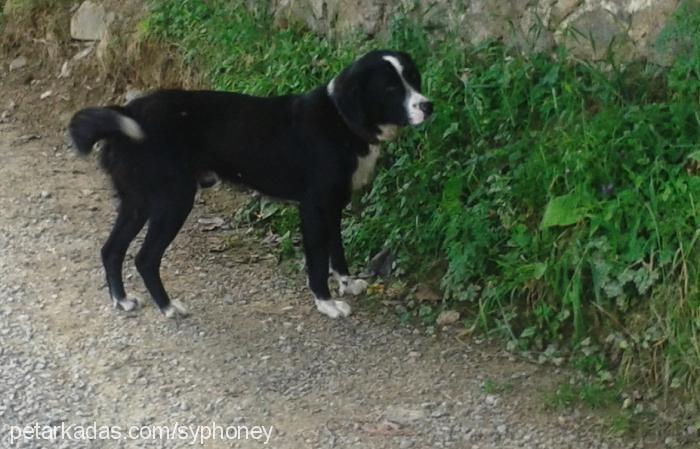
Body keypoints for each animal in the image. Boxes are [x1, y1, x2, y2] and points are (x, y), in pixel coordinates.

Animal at [69, 50, 432, 318]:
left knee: (111, 249)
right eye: (390, 88)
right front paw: (326, 303)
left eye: (413, 78)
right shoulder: (314, 208)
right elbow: (317, 261)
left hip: (138, 203)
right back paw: (169, 308)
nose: (428, 106)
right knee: (145, 258)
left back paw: (121, 300)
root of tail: (127, 113)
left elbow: (337, 252)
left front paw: (347, 282)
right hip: (173, 201)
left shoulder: (334, 206)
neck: (341, 120)